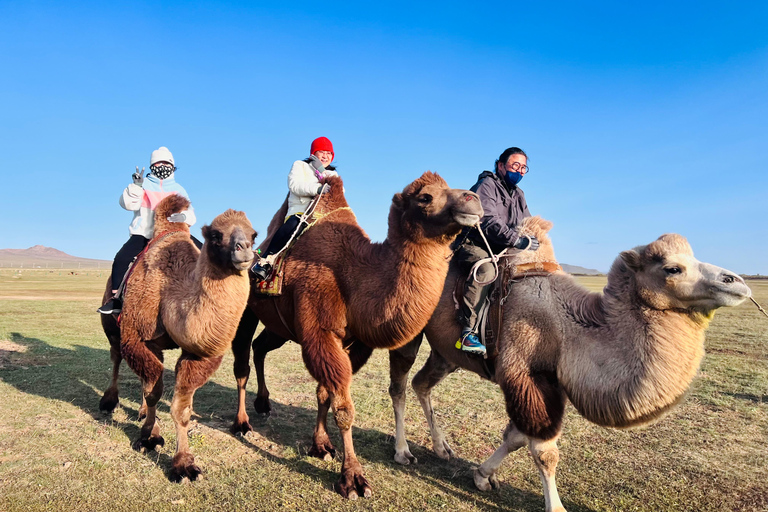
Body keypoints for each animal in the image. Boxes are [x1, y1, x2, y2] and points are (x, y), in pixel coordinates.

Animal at [103, 194, 255, 482]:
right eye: (216, 235)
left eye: (254, 234)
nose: (245, 250)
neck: (172, 294)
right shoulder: (137, 339)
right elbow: (154, 392)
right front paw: (149, 437)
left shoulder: (197, 354)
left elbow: (180, 408)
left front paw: (183, 463)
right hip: (112, 324)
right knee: (116, 356)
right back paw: (108, 401)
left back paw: (140, 412)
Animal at [228, 173, 484, 500]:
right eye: (425, 197)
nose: (473, 199)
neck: (354, 277)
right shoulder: (321, 334)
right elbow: (344, 408)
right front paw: (353, 478)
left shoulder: (355, 343)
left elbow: (325, 393)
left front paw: (321, 446)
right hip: (245, 308)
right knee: (241, 362)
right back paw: (242, 423)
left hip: (280, 326)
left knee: (260, 347)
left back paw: (263, 403)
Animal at [388, 217, 752, 512]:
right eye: (672, 269)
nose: (737, 282)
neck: (569, 328)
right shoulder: (525, 375)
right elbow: (544, 450)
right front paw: (556, 506)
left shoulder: (548, 381)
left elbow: (516, 437)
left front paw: (481, 475)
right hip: (408, 330)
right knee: (400, 386)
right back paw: (403, 452)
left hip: (447, 354)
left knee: (422, 383)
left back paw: (442, 447)